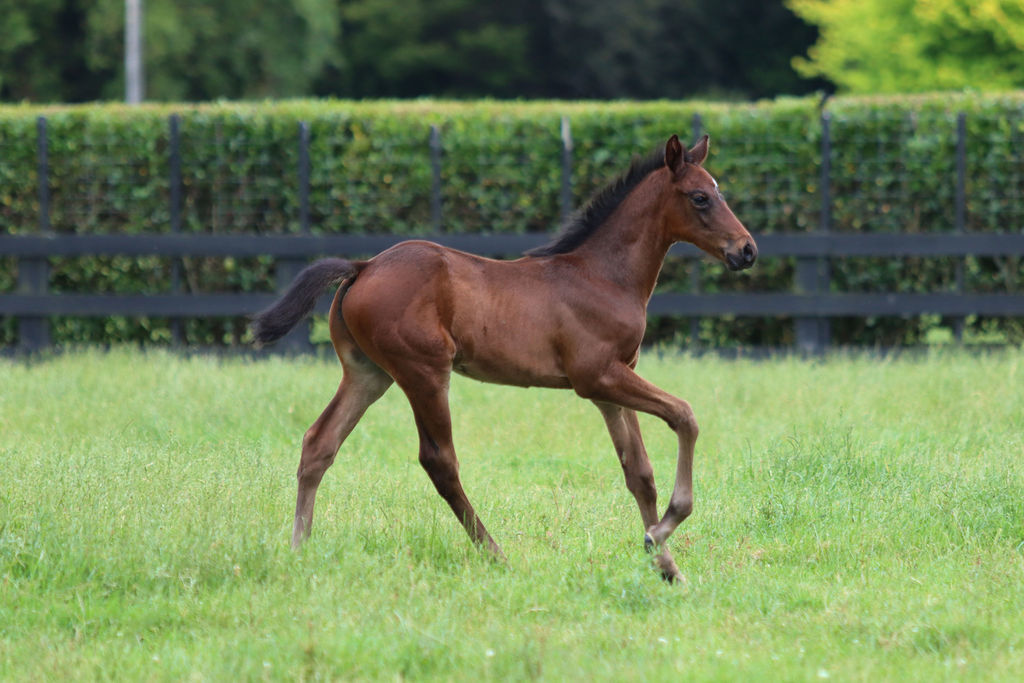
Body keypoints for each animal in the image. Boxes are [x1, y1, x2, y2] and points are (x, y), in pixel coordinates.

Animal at [251, 135, 757, 581]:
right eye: (700, 198)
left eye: (718, 191)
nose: (747, 250)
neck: (601, 275)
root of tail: (363, 267)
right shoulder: (596, 377)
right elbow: (685, 416)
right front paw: (668, 525)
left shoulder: (613, 384)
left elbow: (639, 472)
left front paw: (665, 563)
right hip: (423, 372)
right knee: (439, 462)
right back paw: (496, 554)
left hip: (368, 373)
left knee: (319, 443)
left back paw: (299, 550)